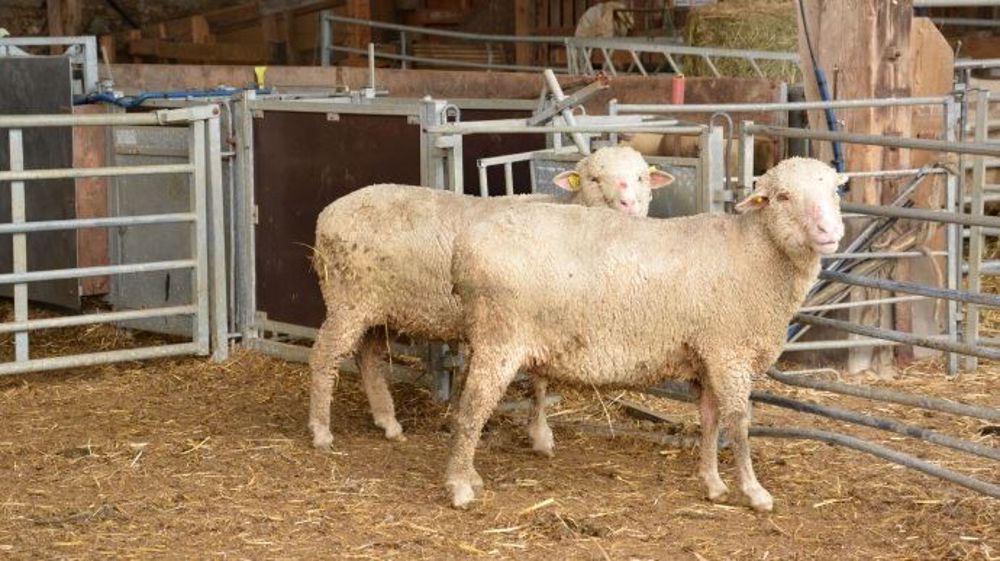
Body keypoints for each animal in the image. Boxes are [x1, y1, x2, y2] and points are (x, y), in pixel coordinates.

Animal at [308, 146, 675, 452]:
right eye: (595, 179)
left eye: (641, 177)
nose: (628, 205)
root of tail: (328, 212)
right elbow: (537, 383)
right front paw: (538, 435)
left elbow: (540, 382)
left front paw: (537, 434)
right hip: (347, 299)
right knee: (325, 354)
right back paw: (321, 431)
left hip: (376, 306)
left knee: (367, 357)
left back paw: (388, 422)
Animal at [445, 157, 846, 512]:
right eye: (783, 196)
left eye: (835, 192)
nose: (830, 232)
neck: (756, 252)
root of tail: (463, 249)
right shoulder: (728, 352)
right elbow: (738, 422)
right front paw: (754, 491)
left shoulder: (707, 355)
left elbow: (710, 419)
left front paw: (713, 483)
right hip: (501, 338)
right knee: (473, 409)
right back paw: (460, 487)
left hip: (482, 335)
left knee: (464, 400)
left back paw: (467, 474)